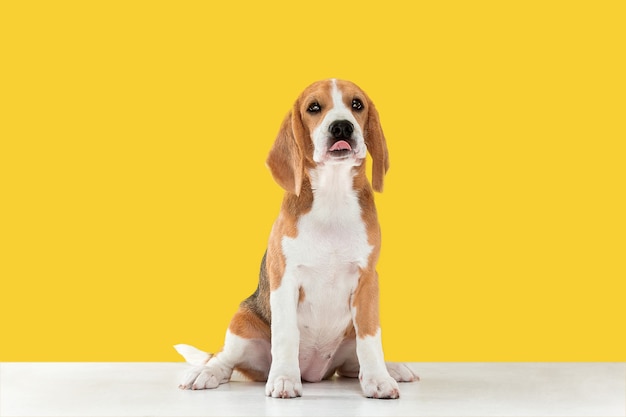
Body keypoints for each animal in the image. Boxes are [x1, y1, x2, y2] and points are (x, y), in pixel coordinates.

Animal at [176, 79, 416, 400]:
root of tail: (315, 372)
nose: (342, 127)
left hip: (345, 342)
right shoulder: (284, 279)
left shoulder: (367, 282)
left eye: (357, 105)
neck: (332, 194)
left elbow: (370, 337)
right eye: (313, 107)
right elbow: (286, 335)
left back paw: (392, 368)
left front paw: (378, 379)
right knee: (224, 359)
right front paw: (284, 379)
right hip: (242, 324)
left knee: (352, 365)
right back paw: (206, 373)